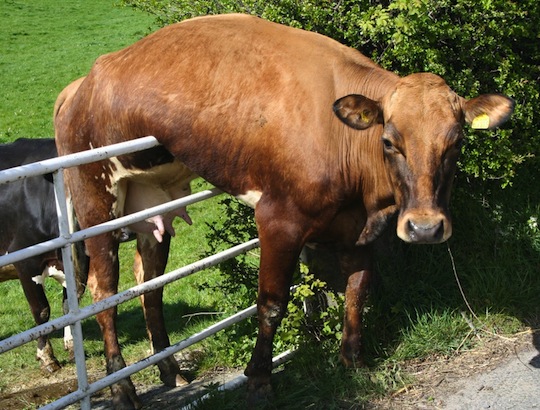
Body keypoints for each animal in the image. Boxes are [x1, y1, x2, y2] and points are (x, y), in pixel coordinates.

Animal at [52, 14, 512, 408]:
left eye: (456, 142)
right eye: (389, 141)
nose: (425, 228)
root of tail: (80, 84)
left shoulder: (358, 228)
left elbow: (357, 289)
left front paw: (353, 361)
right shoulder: (278, 221)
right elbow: (271, 304)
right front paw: (258, 380)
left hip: (150, 203)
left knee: (149, 284)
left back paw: (170, 370)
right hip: (95, 201)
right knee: (103, 292)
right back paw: (122, 389)